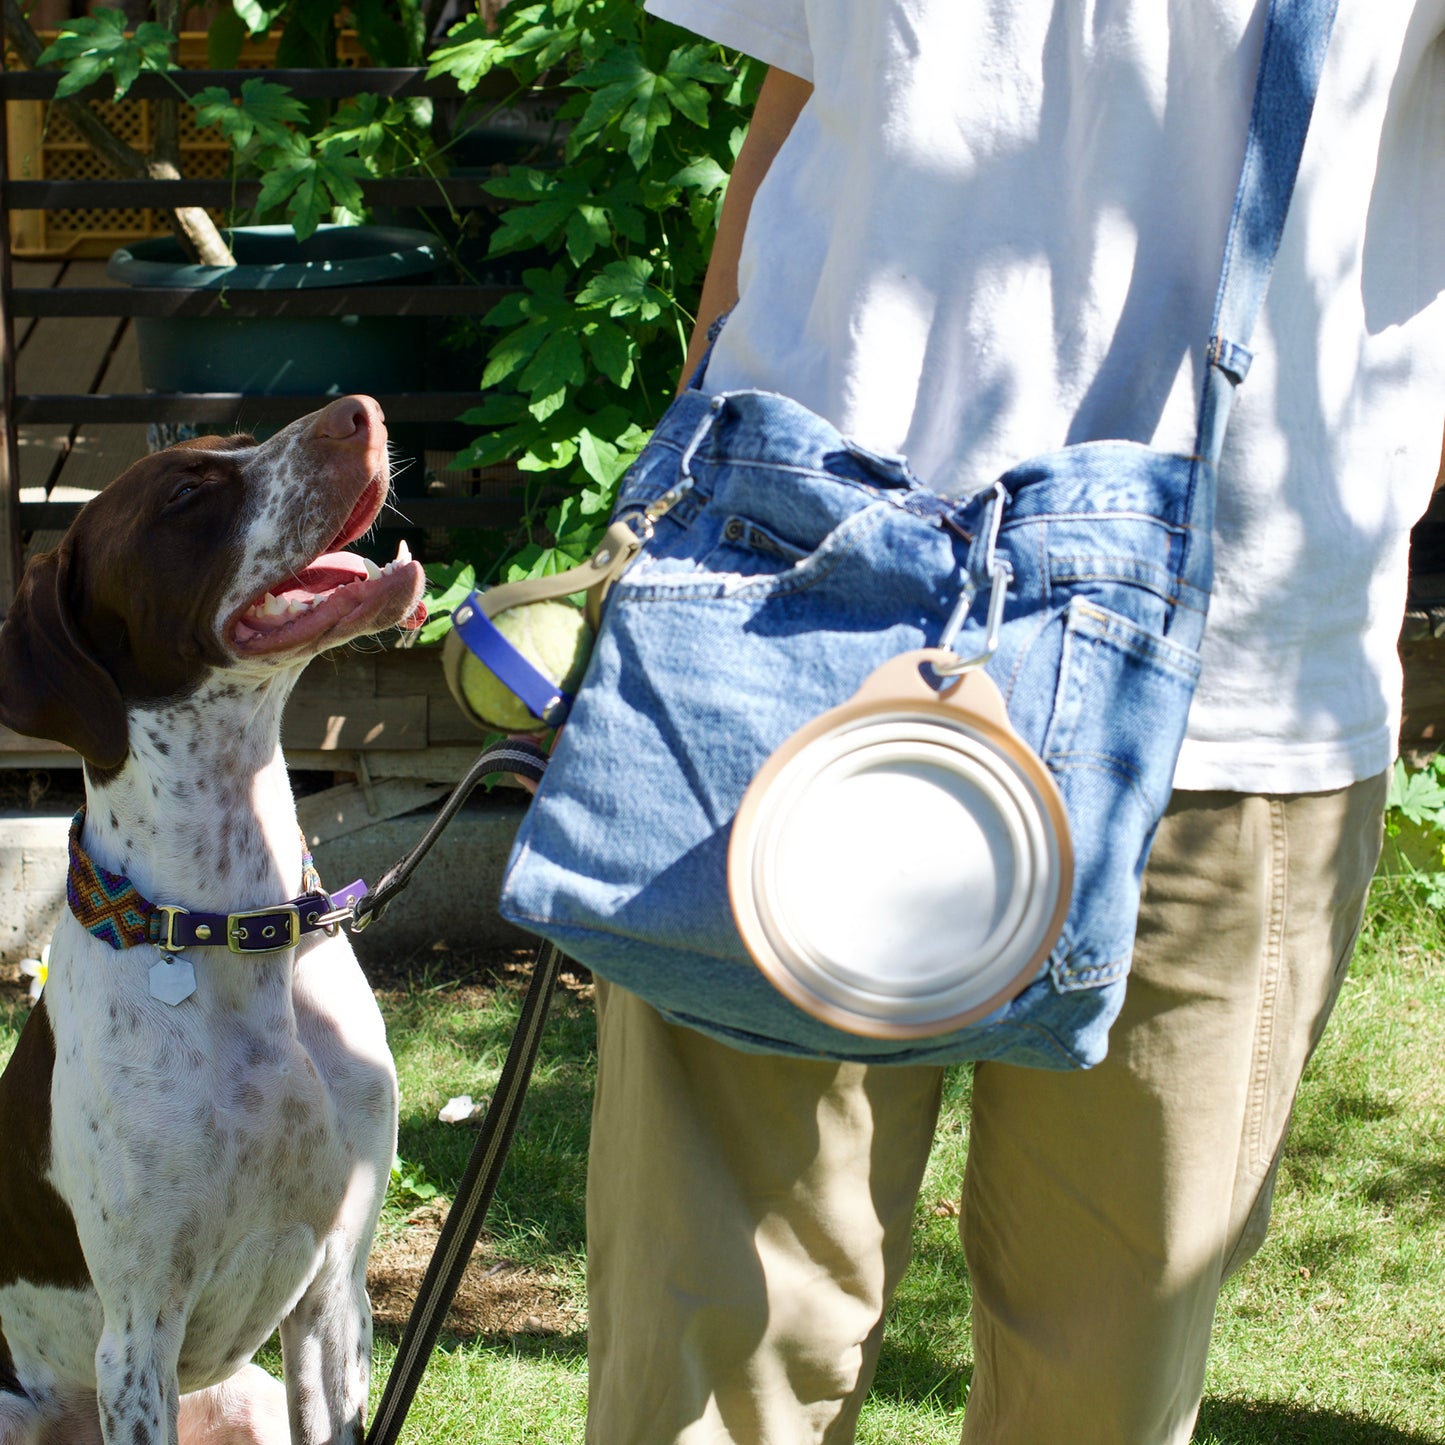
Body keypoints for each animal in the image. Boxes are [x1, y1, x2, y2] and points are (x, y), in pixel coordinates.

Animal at [0, 395, 424, 1445]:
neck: (232, 922)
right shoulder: (138, 1334)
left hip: (254, 1397)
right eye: (187, 491)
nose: (361, 409)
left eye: (234, 439)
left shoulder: (336, 1298)